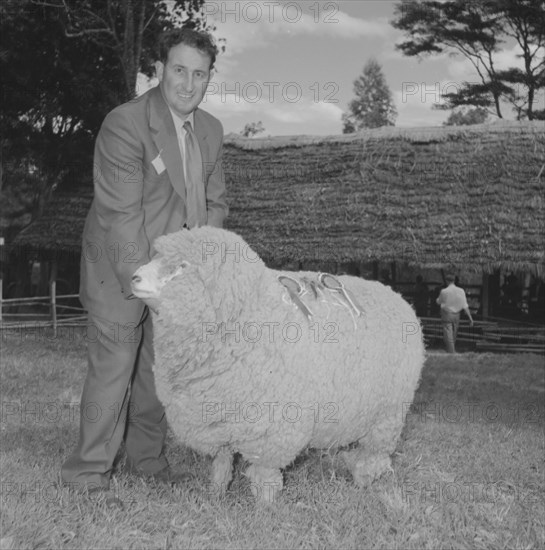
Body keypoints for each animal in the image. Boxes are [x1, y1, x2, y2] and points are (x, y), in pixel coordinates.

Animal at [132, 226, 424, 502]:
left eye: (183, 266)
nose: (134, 277)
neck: (248, 315)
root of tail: (397, 297)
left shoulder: (272, 429)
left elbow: (264, 474)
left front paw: (266, 506)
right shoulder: (218, 421)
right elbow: (221, 463)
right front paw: (216, 494)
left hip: (388, 414)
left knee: (375, 455)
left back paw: (365, 481)